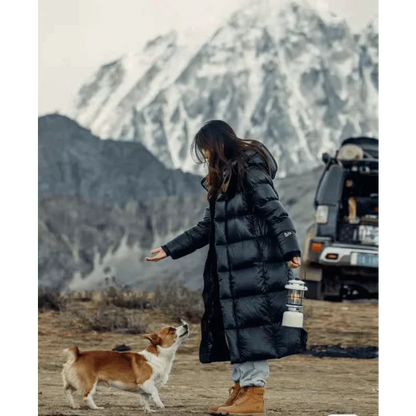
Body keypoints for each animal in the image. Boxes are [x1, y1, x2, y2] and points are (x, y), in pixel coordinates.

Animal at [61, 324, 190, 412]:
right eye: (171, 329)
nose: (186, 325)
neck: (159, 356)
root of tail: (78, 355)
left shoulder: (144, 390)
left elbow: (146, 400)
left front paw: (148, 410)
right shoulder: (146, 383)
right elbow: (155, 392)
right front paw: (159, 404)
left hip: (75, 383)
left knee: (67, 391)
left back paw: (73, 405)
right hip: (90, 383)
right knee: (86, 397)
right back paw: (97, 408)